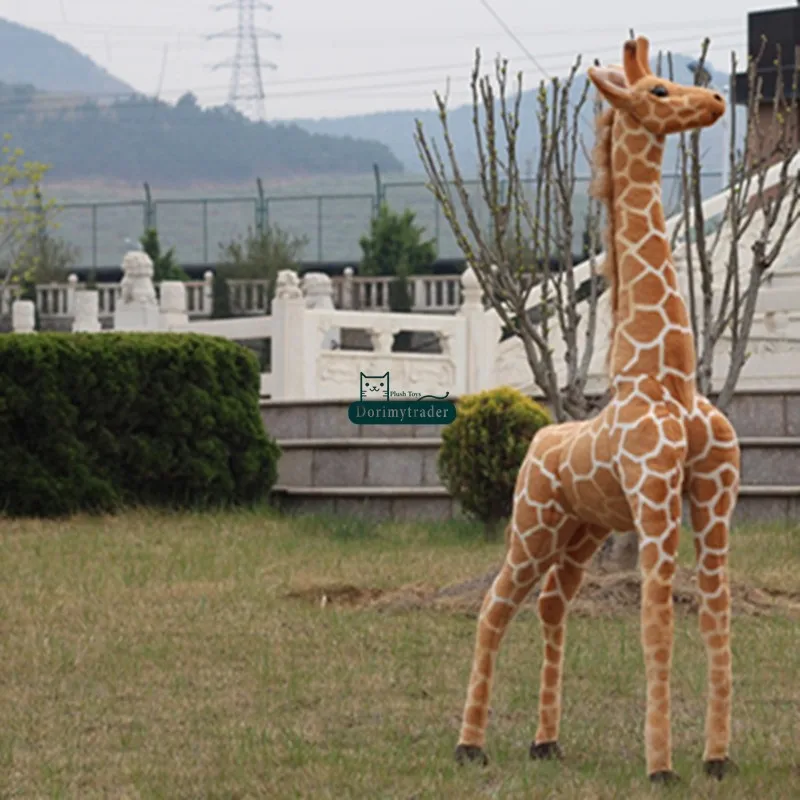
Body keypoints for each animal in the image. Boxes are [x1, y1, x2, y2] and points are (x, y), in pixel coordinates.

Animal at [453, 35, 741, 784]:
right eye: (659, 91)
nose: (717, 99)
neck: (664, 377)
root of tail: (536, 439)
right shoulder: (656, 498)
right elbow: (656, 621)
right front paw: (661, 767)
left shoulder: (716, 494)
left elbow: (716, 613)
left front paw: (717, 758)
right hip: (531, 524)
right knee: (494, 607)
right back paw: (470, 745)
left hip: (579, 534)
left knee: (553, 605)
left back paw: (544, 741)